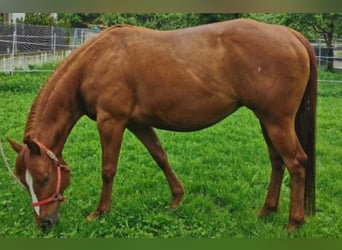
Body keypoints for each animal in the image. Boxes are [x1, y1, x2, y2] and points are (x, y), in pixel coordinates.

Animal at [6, 18, 316, 232]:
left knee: (297, 162)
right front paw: (177, 198)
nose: (44, 224)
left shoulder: (111, 121)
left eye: (44, 178)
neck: (96, 60)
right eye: (24, 181)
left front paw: (100, 211)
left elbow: (108, 169)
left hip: (277, 121)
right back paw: (267, 210)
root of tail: (290, 34)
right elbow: (160, 156)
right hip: (267, 120)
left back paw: (294, 222)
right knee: (277, 161)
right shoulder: (138, 124)